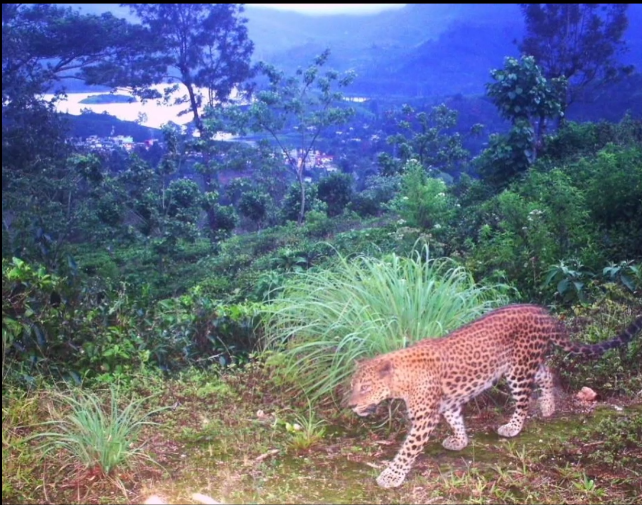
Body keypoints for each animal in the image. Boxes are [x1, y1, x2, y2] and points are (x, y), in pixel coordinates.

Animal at [346, 304, 642, 489]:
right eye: (354, 386)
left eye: (365, 388)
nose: (350, 405)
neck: (401, 381)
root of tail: (542, 311)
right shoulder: (448, 402)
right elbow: (455, 419)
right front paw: (460, 440)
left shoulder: (424, 418)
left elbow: (407, 450)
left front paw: (390, 476)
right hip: (527, 362)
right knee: (547, 372)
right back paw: (548, 407)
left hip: (518, 369)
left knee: (523, 400)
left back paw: (513, 427)